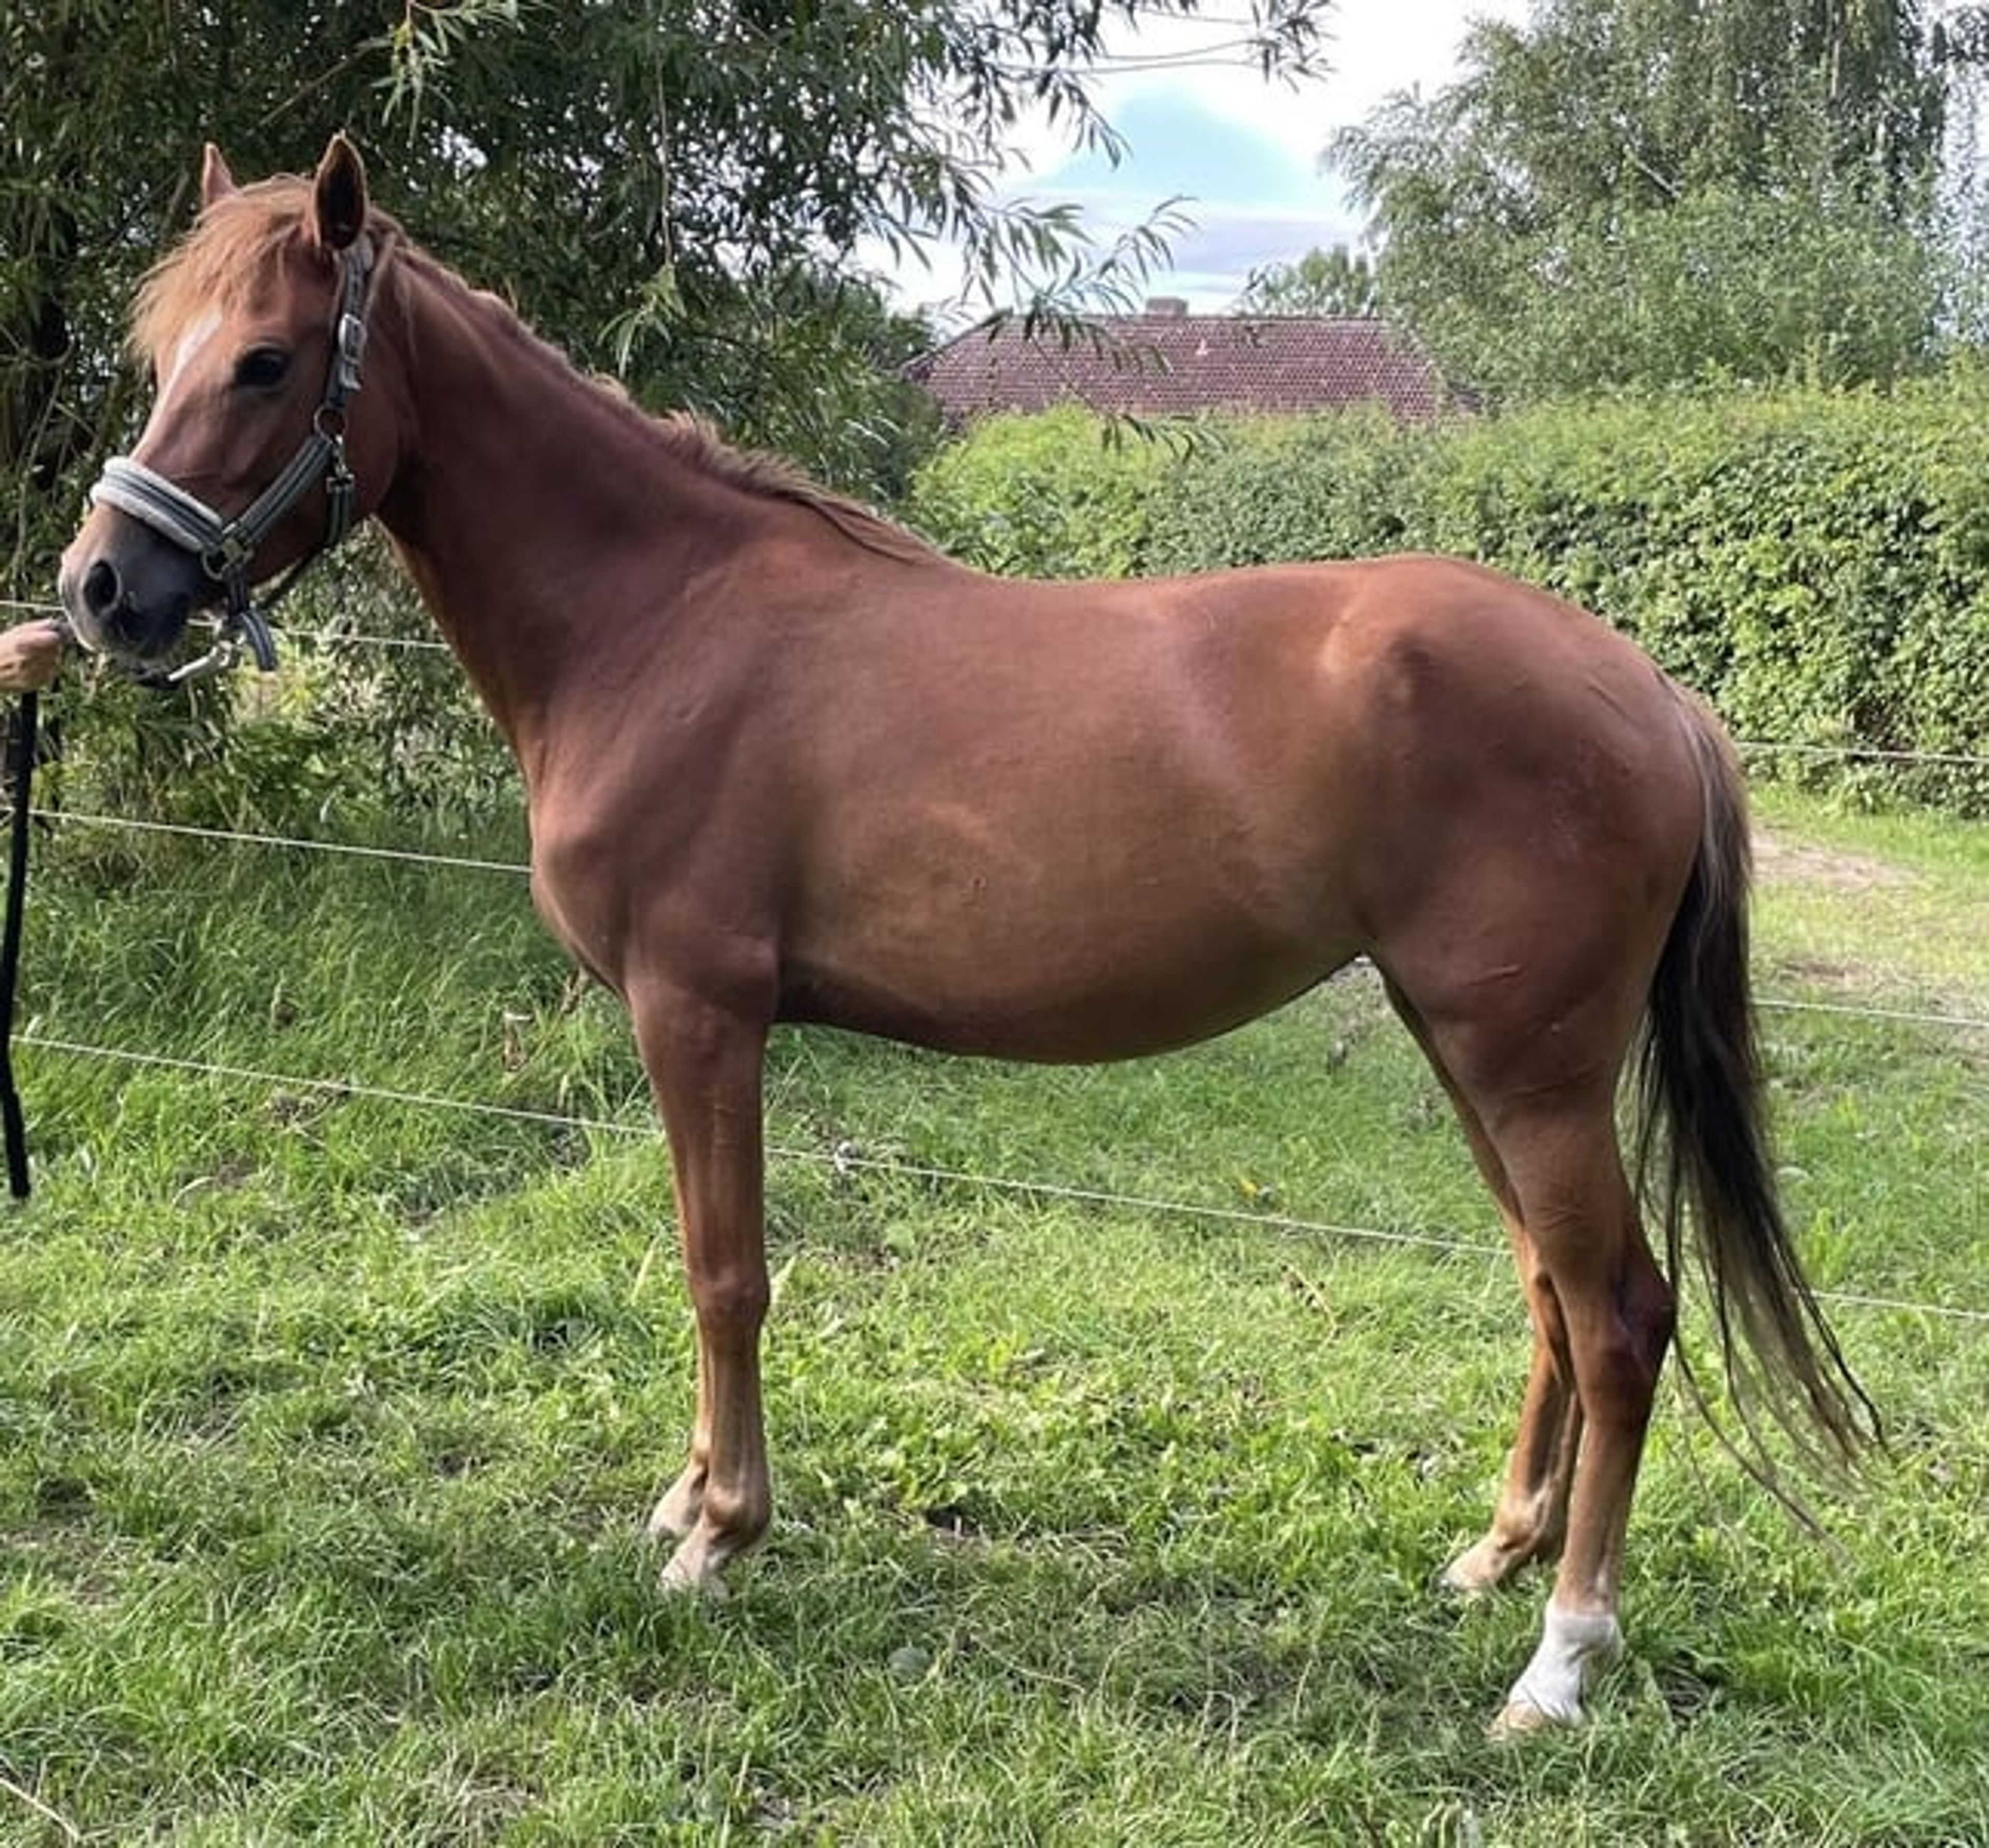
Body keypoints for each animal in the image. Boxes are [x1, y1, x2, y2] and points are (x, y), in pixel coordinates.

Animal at [58, 135, 1872, 1735]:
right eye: (160, 352)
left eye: (267, 361)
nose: (99, 588)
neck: (659, 618)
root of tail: (1653, 691)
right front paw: (692, 1499)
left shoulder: (696, 1011)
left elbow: (723, 1269)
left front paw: (720, 1531)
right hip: (1472, 1052)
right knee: (1550, 1296)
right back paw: (1493, 1557)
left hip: (1531, 1073)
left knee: (1621, 1317)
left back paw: (1558, 1662)